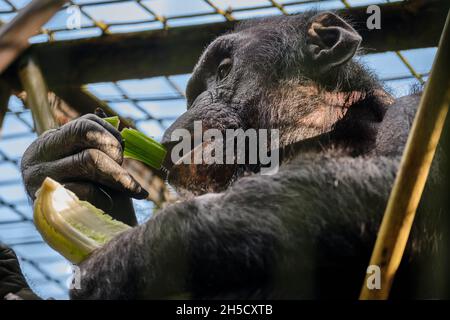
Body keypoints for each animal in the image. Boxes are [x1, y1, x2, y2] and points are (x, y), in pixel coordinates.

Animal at [1, 10, 448, 300]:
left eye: (223, 69)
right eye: (193, 91)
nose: (191, 106)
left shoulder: (421, 112)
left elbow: (400, 188)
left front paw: (135, 251)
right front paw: (72, 165)